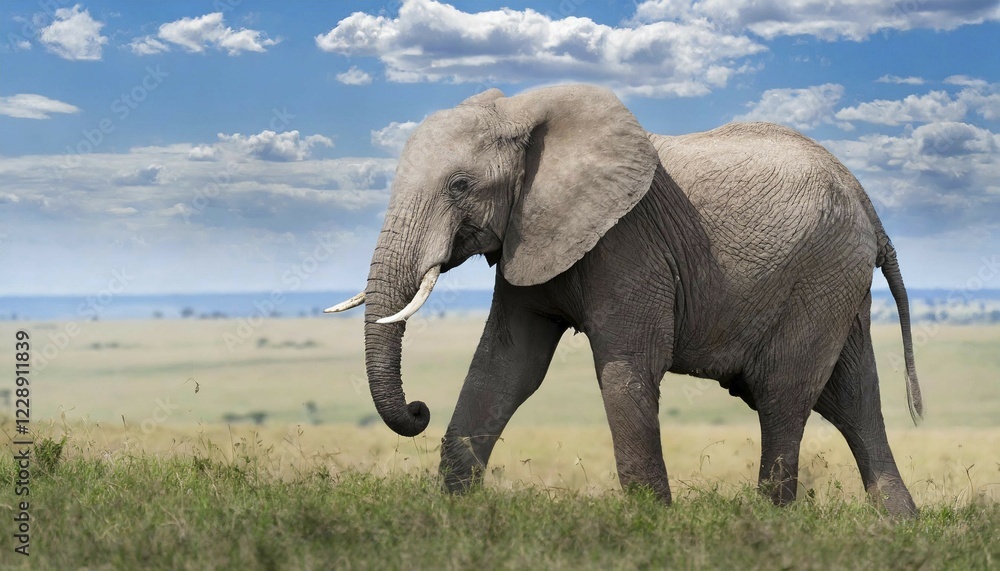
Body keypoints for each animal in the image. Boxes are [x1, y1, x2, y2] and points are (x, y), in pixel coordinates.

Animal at [327, 84, 924, 517]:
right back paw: (898, 524)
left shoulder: (627, 243)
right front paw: (454, 516)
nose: (418, 408)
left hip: (820, 275)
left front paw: (651, 526)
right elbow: (506, 367)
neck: (524, 112)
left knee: (783, 394)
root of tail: (867, 201)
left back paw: (771, 523)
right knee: (854, 399)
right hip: (840, 284)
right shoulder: (532, 233)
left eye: (458, 185)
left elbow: (627, 366)